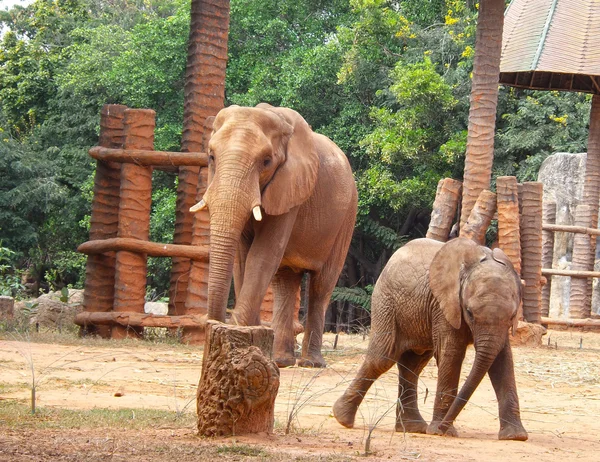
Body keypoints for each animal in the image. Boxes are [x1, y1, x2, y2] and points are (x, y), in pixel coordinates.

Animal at [191, 103, 356, 366]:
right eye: (211, 157)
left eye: (266, 161)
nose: (216, 322)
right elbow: (242, 257)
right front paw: (248, 333)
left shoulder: (291, 188)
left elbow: (263, 254)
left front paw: (241, 331)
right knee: (284, 281)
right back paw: (281, 360)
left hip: (347, 217)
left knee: (321, 284)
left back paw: (310, 363)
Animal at [336, 238, 528, 440]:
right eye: (469, 312)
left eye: (513, 315)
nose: (443, 427)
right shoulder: (444, 306)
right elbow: (451, 354)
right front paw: (441, 432)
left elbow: (502, 361)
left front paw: (515, 437)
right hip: (385, 302)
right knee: (382, 358)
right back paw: (343, 419)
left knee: (413, 365)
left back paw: (413, 427)